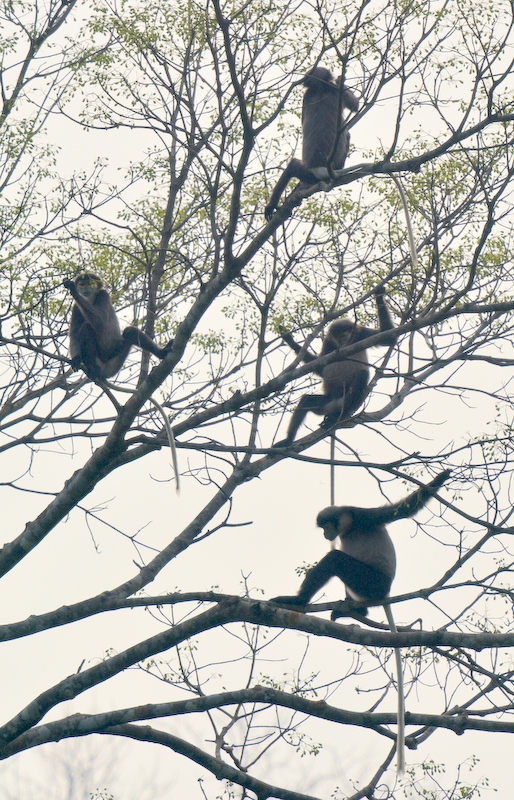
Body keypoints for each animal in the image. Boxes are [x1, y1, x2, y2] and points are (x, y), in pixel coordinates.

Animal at [264, 65, 356, 220]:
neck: (319, 87)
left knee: (291, 167)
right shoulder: (333, 89)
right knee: (347, 134)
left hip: (305, 173)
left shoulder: (307, 96)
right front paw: (341, 80)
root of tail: (318, 167)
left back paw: (271, 207)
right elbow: (355, 105)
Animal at [272, 288, 396, 450]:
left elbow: (389, 337)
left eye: (343, 335)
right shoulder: (328, 343)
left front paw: (379, 293)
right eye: (336, 337)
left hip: (347, 400)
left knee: (362, 374)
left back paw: (338, 416)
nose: (341, 343)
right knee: (306, 401)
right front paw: (290, 341)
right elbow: (321, 368)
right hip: (326, 403)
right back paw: (289, 440)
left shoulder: (361, 334)